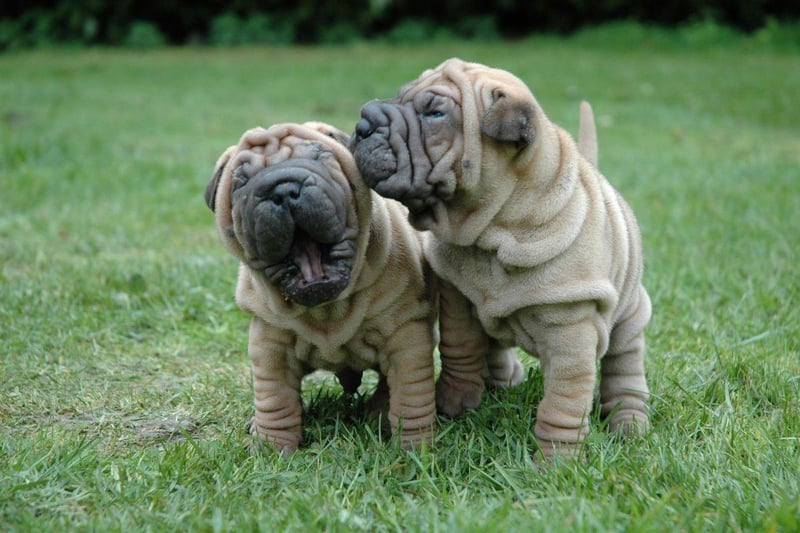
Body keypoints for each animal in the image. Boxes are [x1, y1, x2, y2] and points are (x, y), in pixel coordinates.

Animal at [203, 121, 434, 454]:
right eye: (240, 182)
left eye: (320, 157)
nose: (282, 189)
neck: (328, 310)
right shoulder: (270, 344)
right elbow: (275, 399)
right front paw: (272, 449)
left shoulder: (406, 337)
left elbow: (410, 397)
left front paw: (416, 449)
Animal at [354, 57, 652, 458]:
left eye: (435, 113)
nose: (363, 122)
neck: (496, 230)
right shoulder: (457, 294)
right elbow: (459, 346)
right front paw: (455, 401)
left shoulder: (571, 325)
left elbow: (564, 398)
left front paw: (558, 460)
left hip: (630, 314)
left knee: (625, 367)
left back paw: (629, 423)